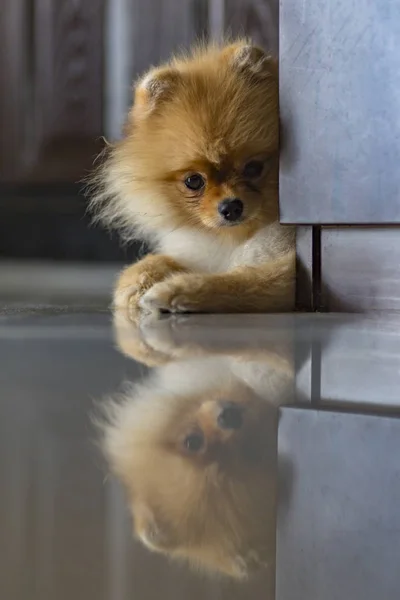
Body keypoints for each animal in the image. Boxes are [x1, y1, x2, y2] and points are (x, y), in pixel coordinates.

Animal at [91, 39, 296, 316]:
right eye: (193, 181)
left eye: (253, 168)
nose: (231, 207)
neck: (235, 238)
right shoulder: (201, 254)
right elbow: (160, 260)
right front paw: (139, 278)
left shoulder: (292, 271)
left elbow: (244, 280)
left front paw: (177, 291)